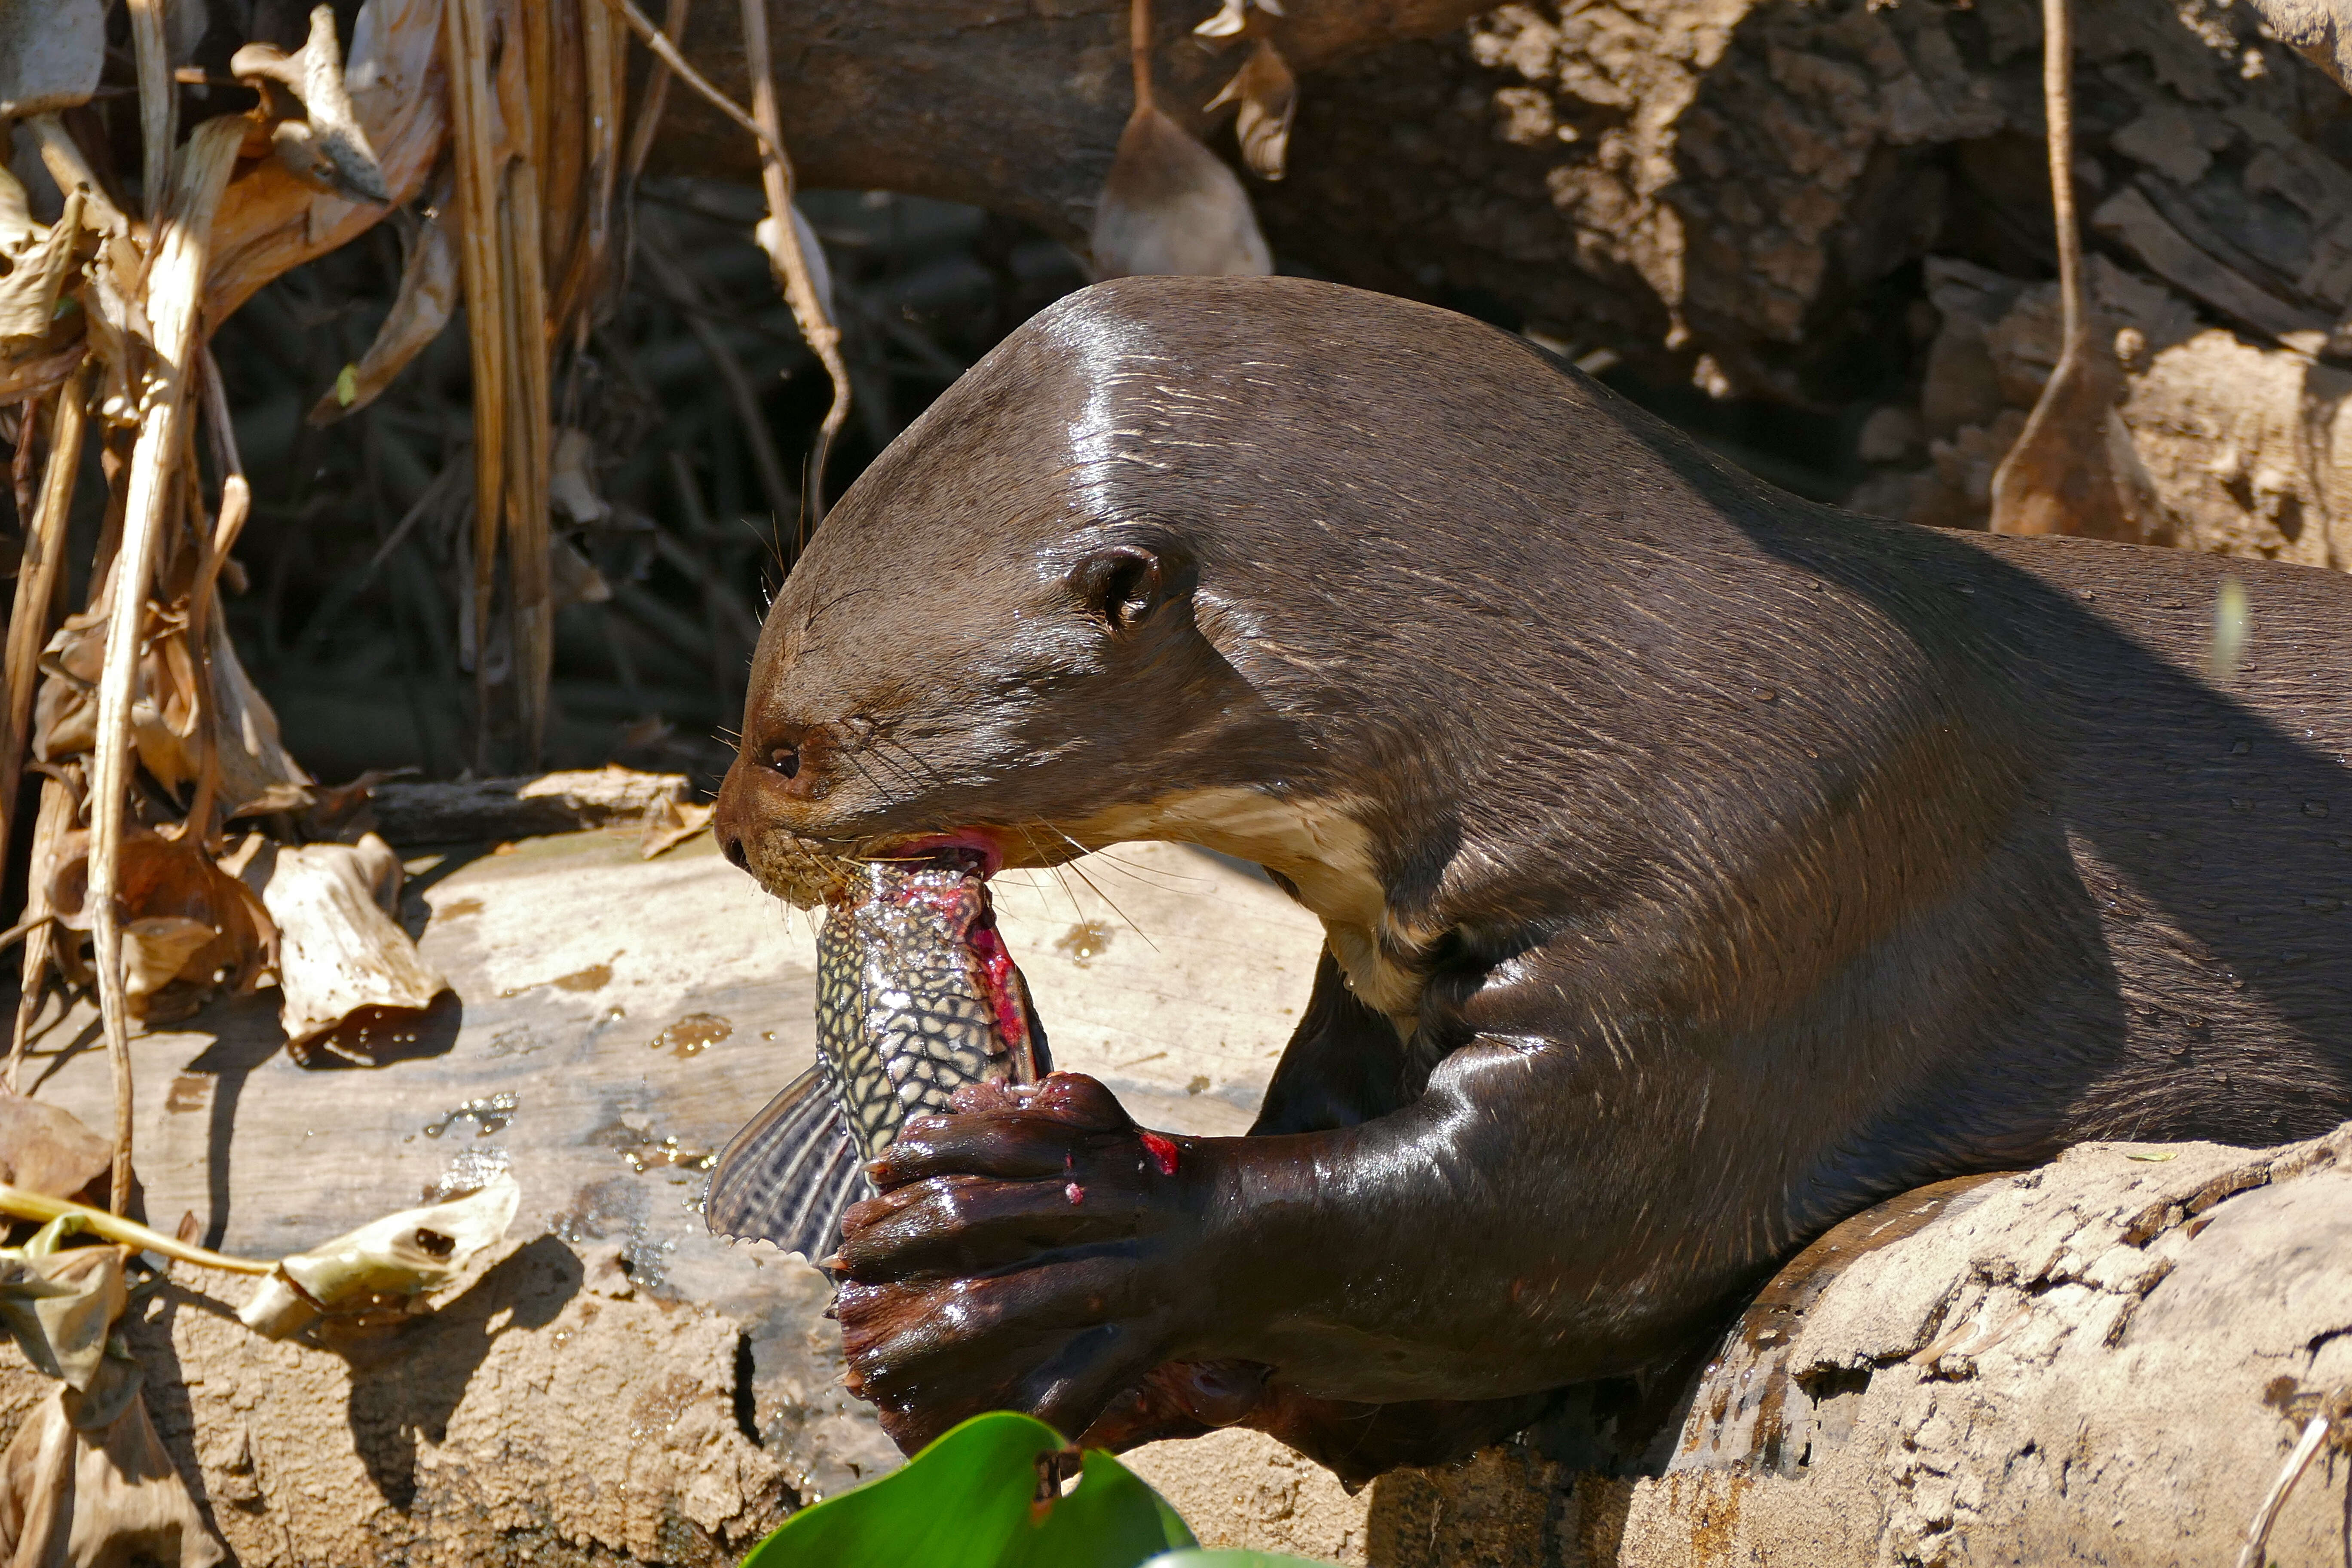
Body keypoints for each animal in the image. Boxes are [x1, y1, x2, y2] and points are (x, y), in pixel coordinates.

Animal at [705, 276, 2352, 1476]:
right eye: (752, 703)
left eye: (790, 747)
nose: (725, 828)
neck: (1628, 691)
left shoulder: (1788, 855)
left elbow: (1545, 1212)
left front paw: (1084, 1236)